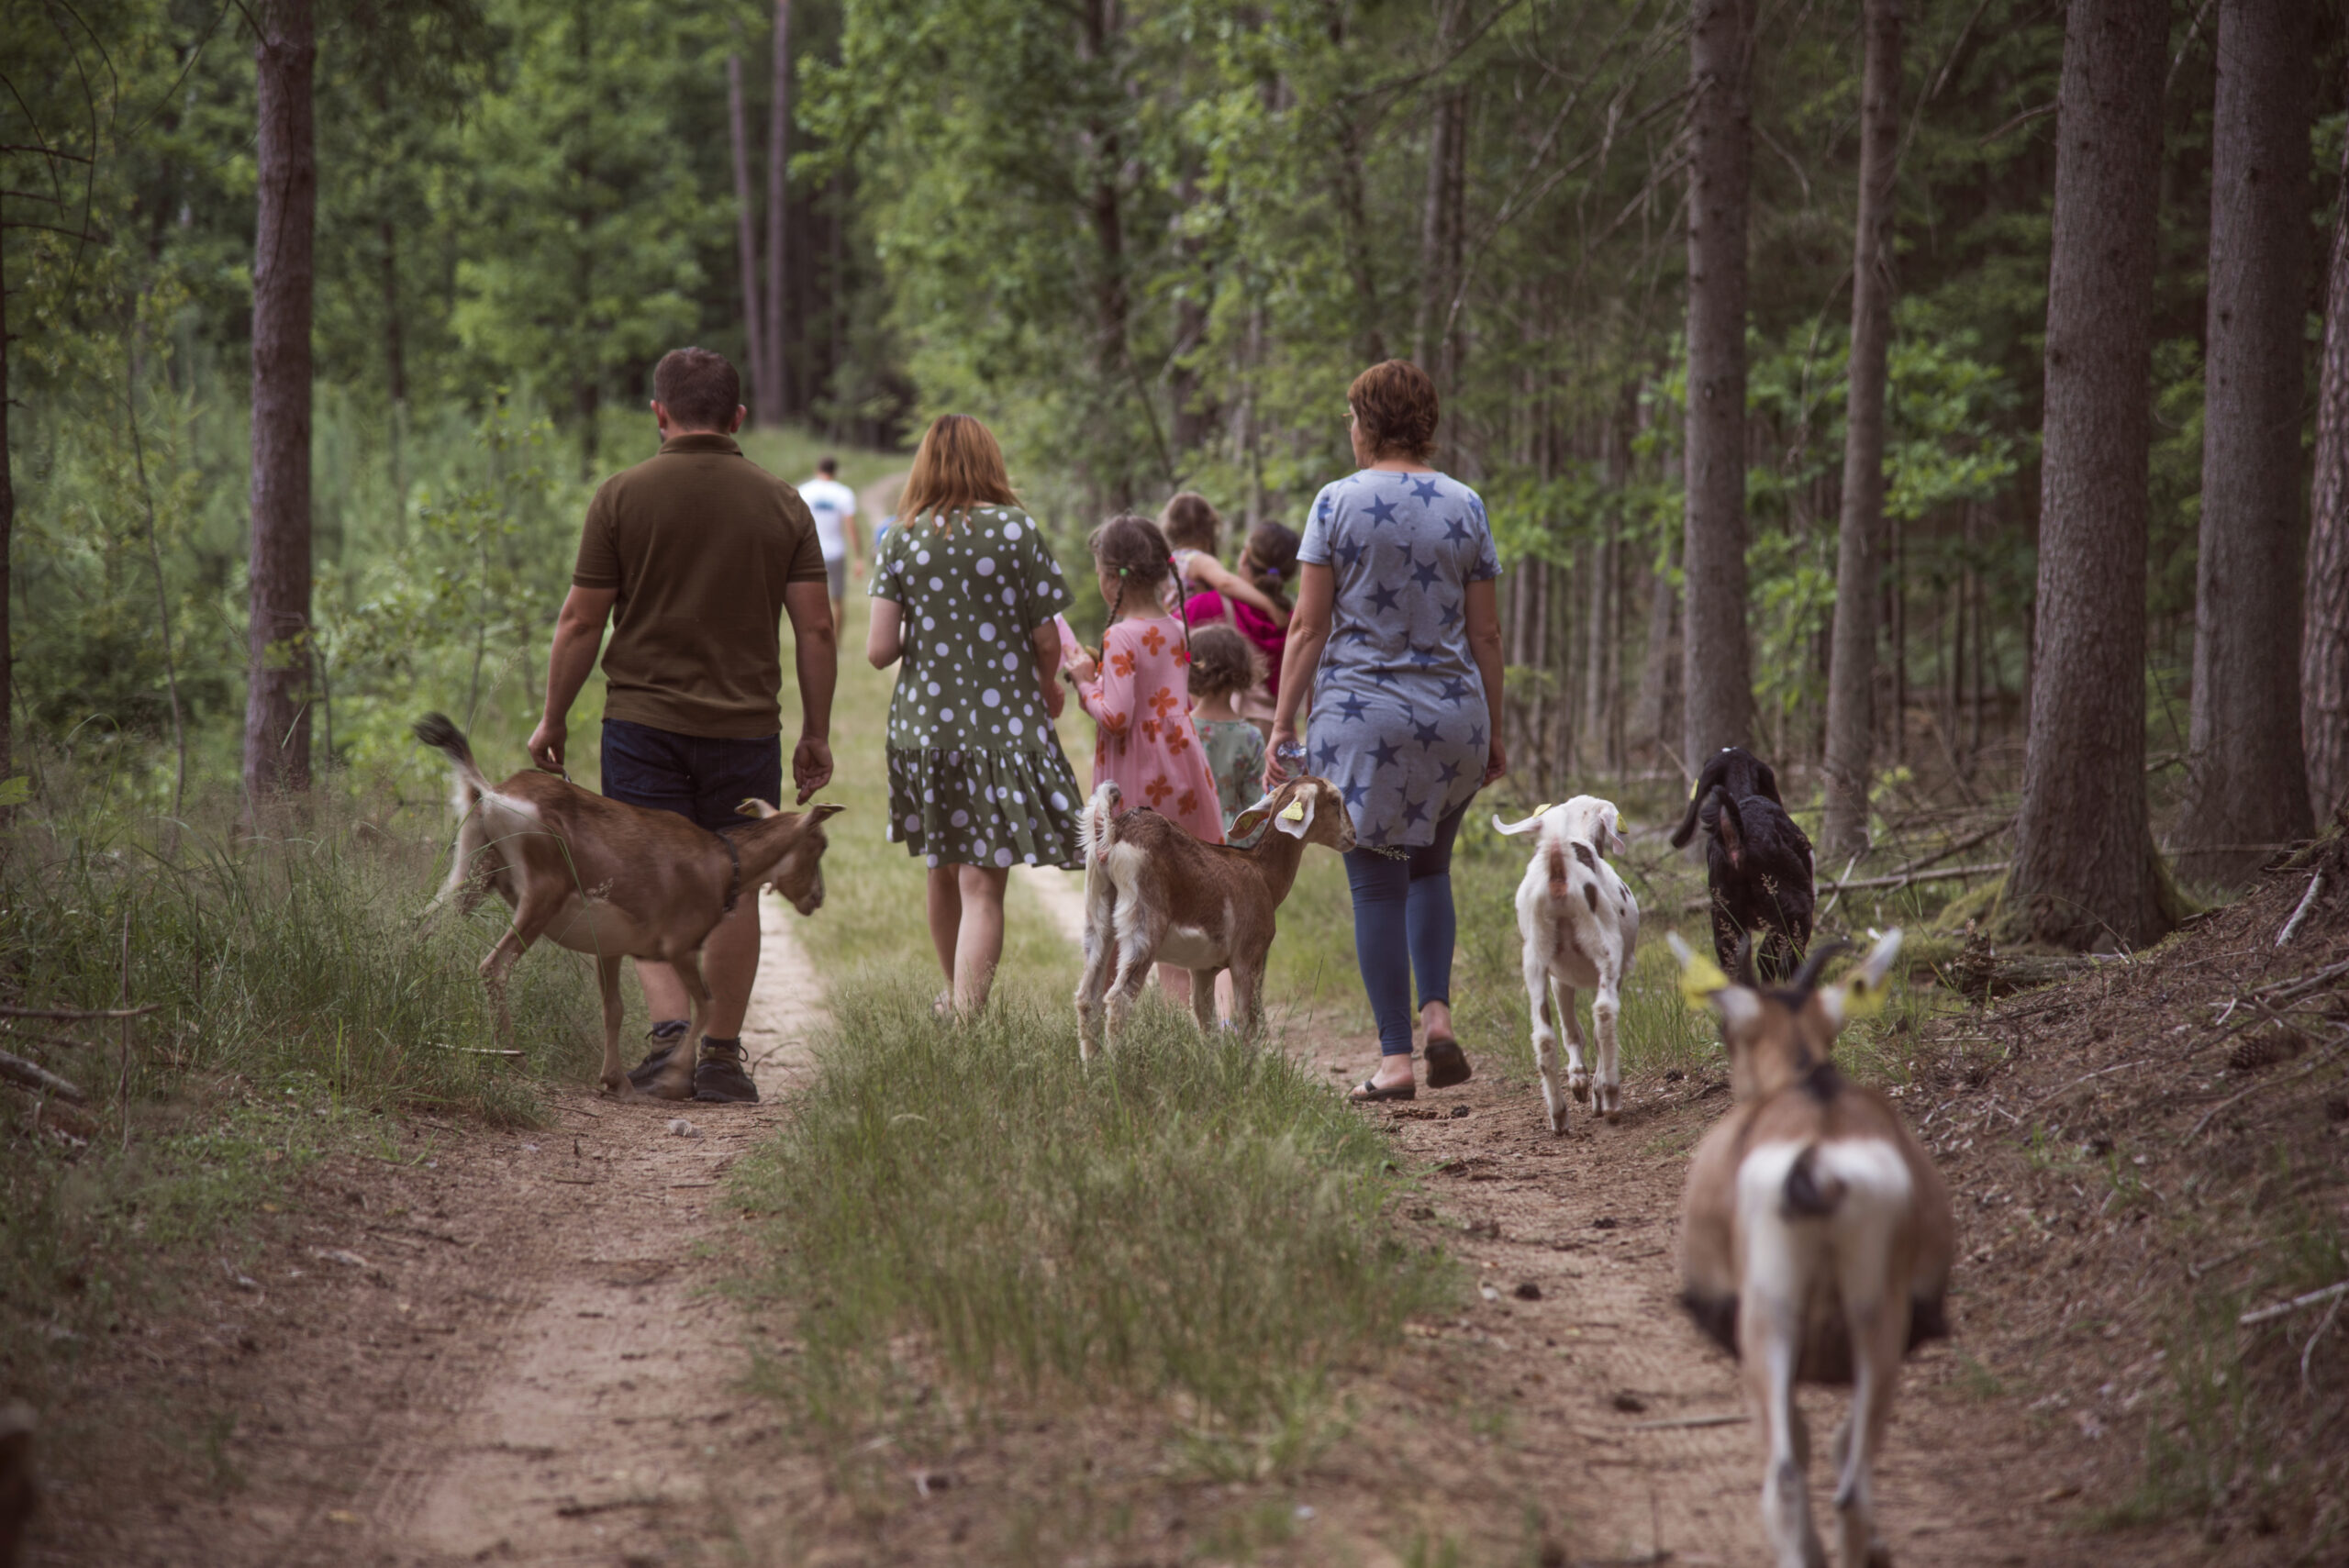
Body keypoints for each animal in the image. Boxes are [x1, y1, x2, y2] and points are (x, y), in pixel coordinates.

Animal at [417, 713, 841, 1098]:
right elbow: (705, 1003)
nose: (816, 898)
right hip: (540, 893)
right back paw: (512, 1056)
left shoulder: (610, 947)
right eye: (821, 844)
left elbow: (614, 1009)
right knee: (494, 966)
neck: (723, 863)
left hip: (471, 870)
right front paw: (671, 1078)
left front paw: (615, 1080)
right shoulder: (680, 944)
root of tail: (489, 793)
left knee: (423, 928)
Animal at [1503, 802, 1634, 1131]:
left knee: (1544, 1036)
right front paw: (1596, 1092)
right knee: (1604, 1013)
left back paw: (1559, 1115)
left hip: (1535, 959)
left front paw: (1579, 1081)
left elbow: (1571, 1031)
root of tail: (1559, 869)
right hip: (1605, 948)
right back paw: (1610, 1097)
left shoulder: (1559, 977)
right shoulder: (1613, 974)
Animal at [1681, 929, 1954, 1568]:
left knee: (1788, 1472)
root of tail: (1820, 1160)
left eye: (1724, 1028)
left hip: (1771, 1318)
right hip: (1875, 1319)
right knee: (1847, 1482)